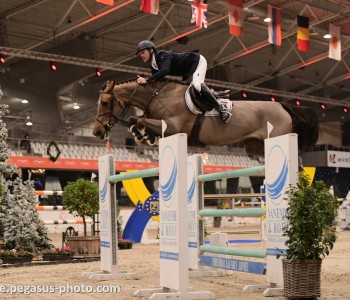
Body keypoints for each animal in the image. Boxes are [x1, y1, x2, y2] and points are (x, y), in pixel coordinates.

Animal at [93, 78, 320, 156]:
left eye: (104, 103)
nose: (97, 132)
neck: (158, 96)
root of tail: (283, 106)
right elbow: (138, 121)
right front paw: (141, 136)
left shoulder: (173, 127)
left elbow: (139, 119)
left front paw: (140, 133)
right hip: (254, 147)